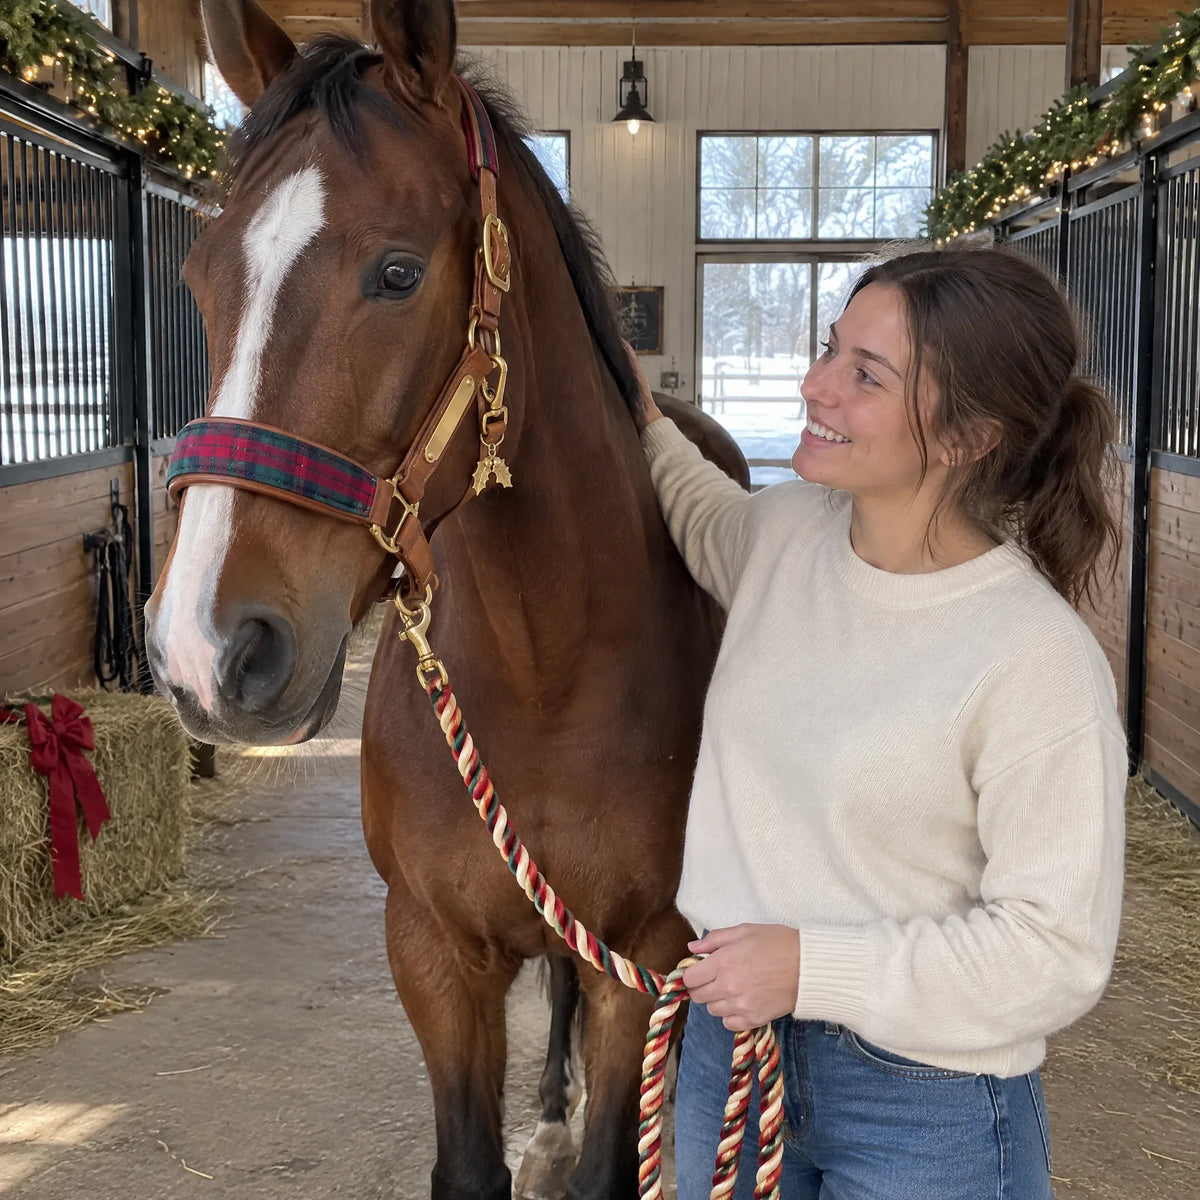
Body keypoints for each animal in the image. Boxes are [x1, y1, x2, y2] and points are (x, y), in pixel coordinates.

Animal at [145, 2, 748, 1197]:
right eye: (199, 276)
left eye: (394, 272)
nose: (205, 649)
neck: (540, 670)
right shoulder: (430, 955)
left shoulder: (642, 958)